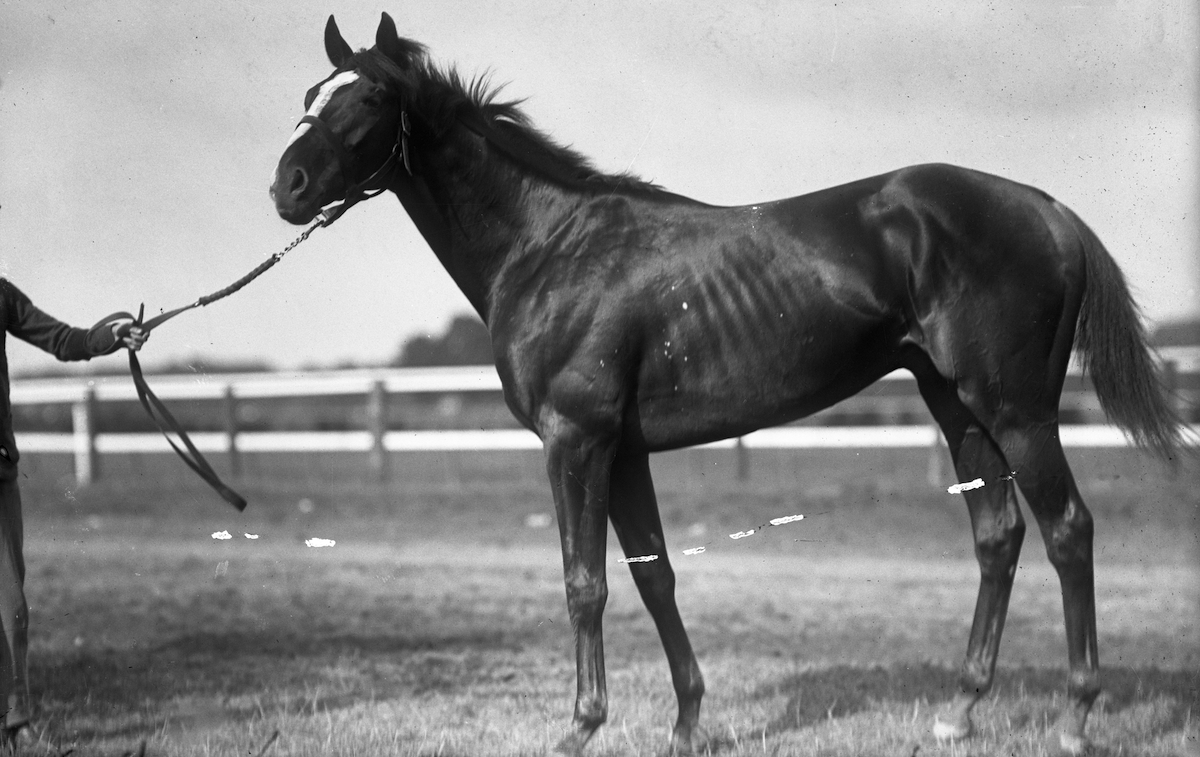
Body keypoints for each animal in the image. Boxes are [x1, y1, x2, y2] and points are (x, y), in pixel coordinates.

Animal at [272, 13, 1180, 757]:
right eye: (312, 93)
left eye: (369, 96)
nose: (286, 186)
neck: (550, 247)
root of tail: (1048, 209)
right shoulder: (623, 451)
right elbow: (652, 573)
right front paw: (687, 721)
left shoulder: (576, 441)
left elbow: (584, 584)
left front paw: (581, 725)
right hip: (954, 404)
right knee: (998, 534)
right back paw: (960, 711)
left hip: (1017, 409)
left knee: (1067, 528)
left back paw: (1075, 716)